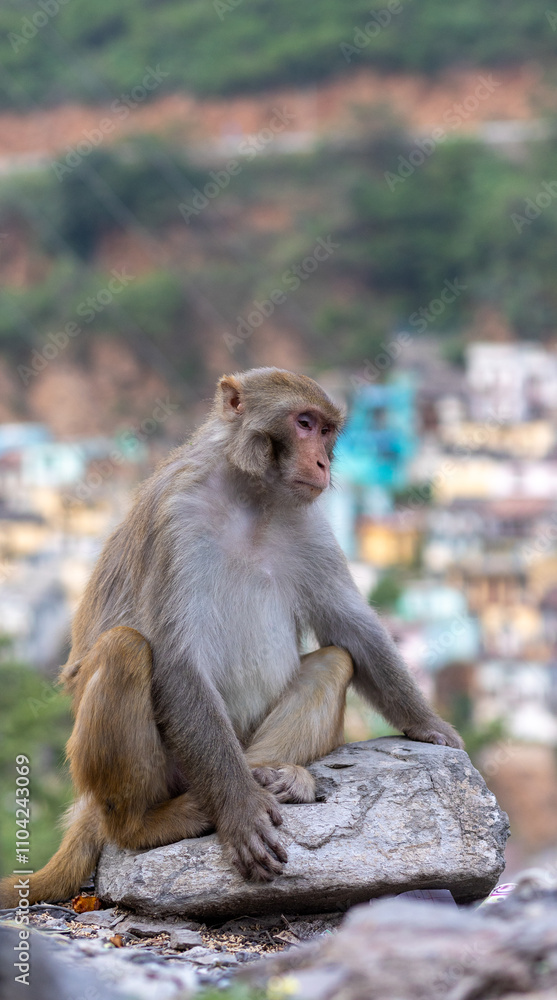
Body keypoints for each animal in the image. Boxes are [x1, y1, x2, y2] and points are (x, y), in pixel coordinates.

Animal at [0, 367, 462, 908]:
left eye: (326, 430)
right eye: (304, 424)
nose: (322, 462)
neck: (251, 496)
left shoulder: (307, 519)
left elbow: (350, 627)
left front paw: (429, 725)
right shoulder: (174, 518)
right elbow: (176, 659)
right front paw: (240, 811)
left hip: (237, 742)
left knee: (334, 662)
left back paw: (277, 776)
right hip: (169, 768)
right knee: (124, 649)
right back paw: (149, 823)